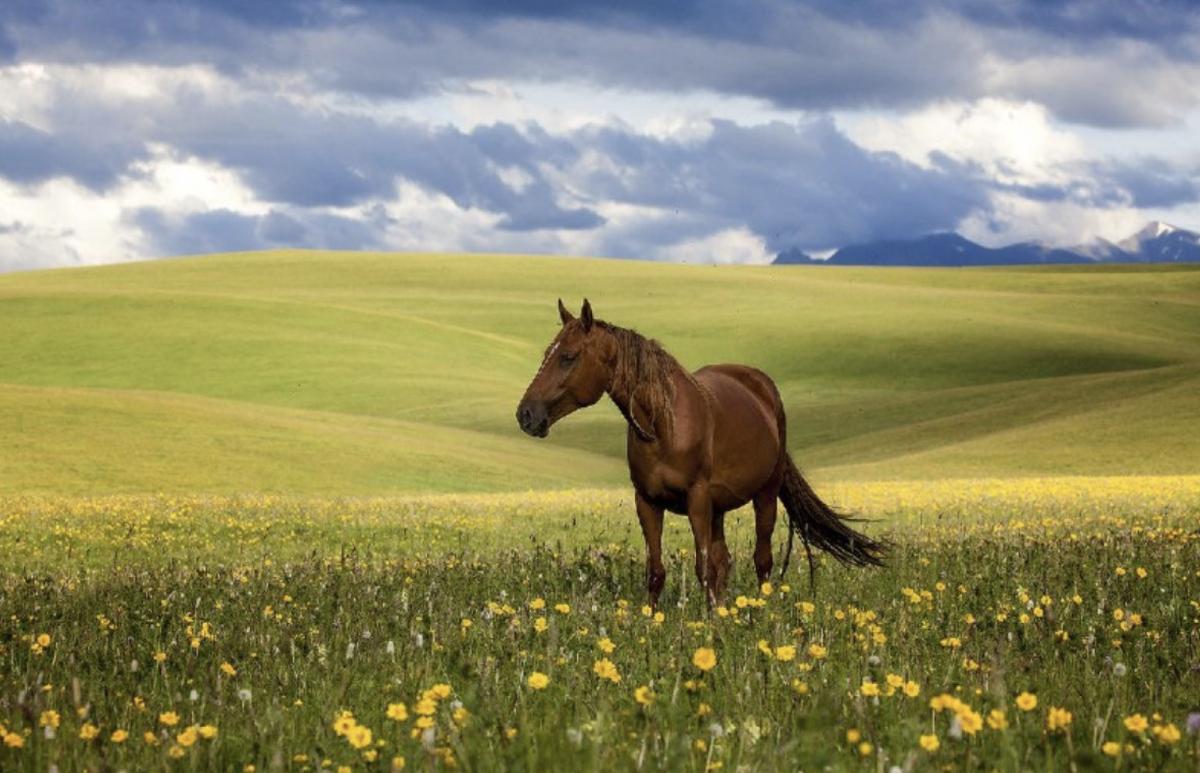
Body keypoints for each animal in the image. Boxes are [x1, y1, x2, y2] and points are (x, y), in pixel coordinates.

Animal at [511, 298, 888, 607]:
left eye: (568, 357)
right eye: (547, 354)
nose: (526, 415)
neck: (664, 426)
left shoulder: (697, 500)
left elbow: (703, 568)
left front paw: (707, 632)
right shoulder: (647, 502)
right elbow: (658, 571)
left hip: (763, 495)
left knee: (761, 560)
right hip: (717, 509)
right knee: (725, 562)